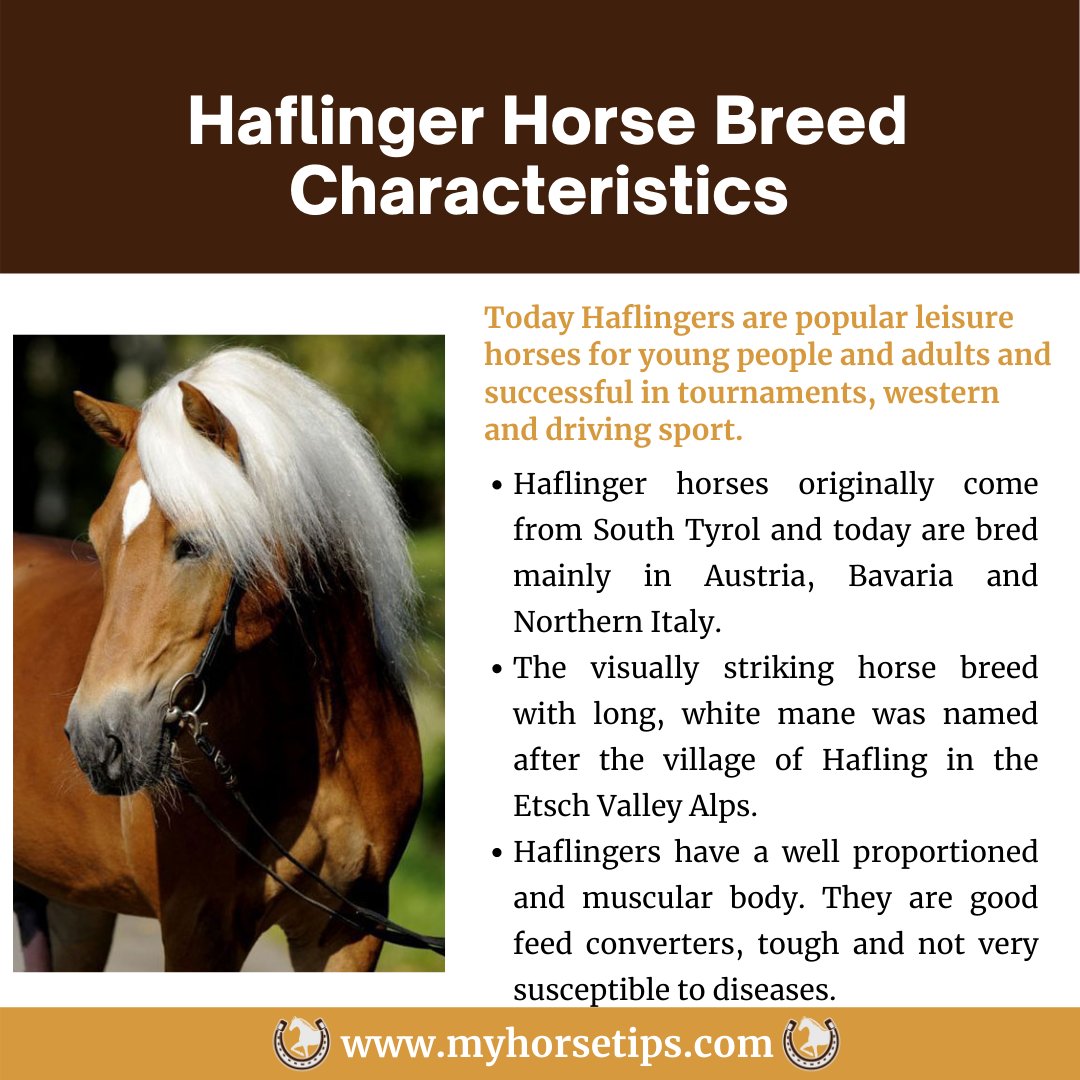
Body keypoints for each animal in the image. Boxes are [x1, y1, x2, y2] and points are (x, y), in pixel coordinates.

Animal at [13, 347, 426, 971]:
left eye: (194, 544)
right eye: (99, 540)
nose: (96, 741)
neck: (325, 745)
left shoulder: (351, 932)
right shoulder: (199, 934)